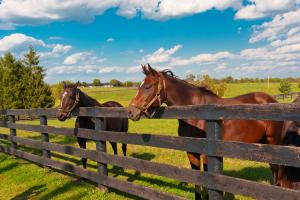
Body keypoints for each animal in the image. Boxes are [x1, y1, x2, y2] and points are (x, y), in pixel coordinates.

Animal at [127, 65, 284, 199]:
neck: (195, 112)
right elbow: (197, 180)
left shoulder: (206, 154)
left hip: (274, 144)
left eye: (147, 87)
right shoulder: (191, 152)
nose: (130, 111)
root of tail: (272, 100)